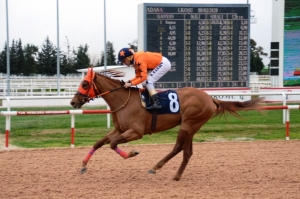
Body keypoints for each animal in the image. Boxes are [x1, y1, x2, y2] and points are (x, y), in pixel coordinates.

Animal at [69, 69, 262, 181]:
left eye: (84, 83)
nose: (73, 102)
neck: (124, 100)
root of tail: (210, 98)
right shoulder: (120, 129)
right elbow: (100, 143)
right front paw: (83, 165)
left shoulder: (136, 132)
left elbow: (112, 144)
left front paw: (132, 153)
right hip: (191, 126)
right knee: (187, 152)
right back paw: (176, 176)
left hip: (189, 124)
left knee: (178, 147)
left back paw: (155, 167)